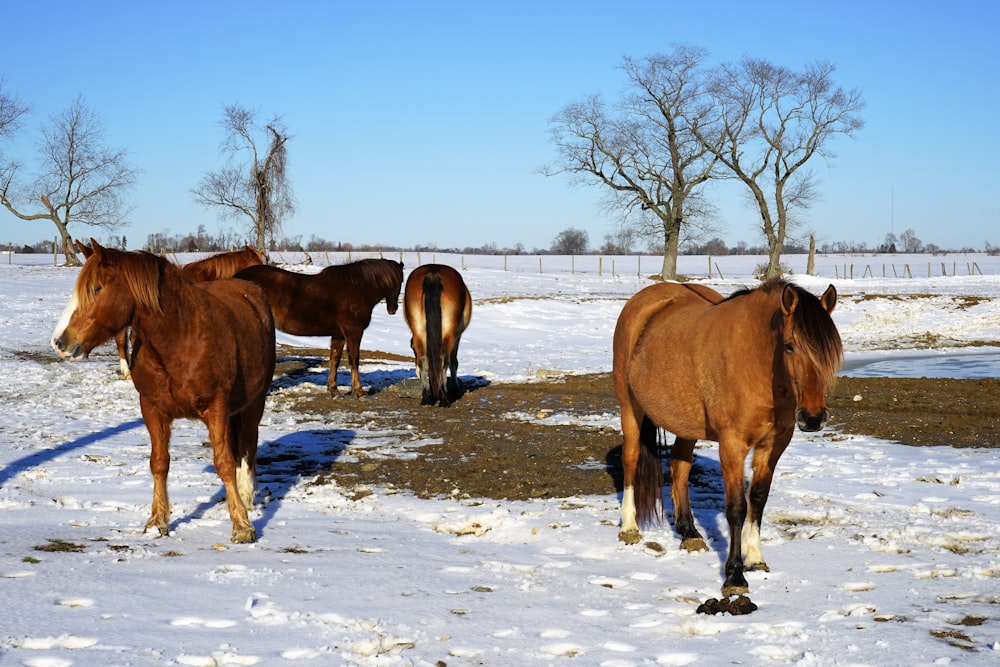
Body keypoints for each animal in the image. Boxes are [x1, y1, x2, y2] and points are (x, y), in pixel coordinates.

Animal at [52, 240, 276, 544]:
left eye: (96, 288)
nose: (59, 341)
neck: (179, 337)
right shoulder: (152, 408)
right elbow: (159, 463)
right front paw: (157, 521)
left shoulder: (216, 407)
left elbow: (225, 463)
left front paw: (241, 525)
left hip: (254, 403)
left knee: (248, 447)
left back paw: (246, 494)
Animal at [236, 258, 404, 396]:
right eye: (400, 281)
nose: (393, 309)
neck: (357, 287)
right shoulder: (353, 332)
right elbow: (354, 360)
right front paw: (359, 391)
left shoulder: (339, 335)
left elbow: (335, 359)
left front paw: (334, 389)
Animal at [402, 264, 472, 408]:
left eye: (412, 348)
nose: (416, 373)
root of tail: (433, 273)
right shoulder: (457, 336)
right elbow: (454, 362)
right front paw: (454, 389)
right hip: (448, 335)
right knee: (443, 360)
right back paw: (444, 398)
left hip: (419, 333)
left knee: (424, 360)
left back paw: (426, 397)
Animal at [612, 276, 840, 596]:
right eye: (789, 346)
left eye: (829, 352)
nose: (813, 418)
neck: (757, 363)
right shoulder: (732, 445)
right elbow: (736, 508)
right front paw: (734, 576)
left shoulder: (774, 444)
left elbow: (758, 498)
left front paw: (755, 558)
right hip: (630, 407)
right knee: (631, 459)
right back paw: (629, 527)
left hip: (686, 423)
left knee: (679, 467)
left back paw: (689, 532)